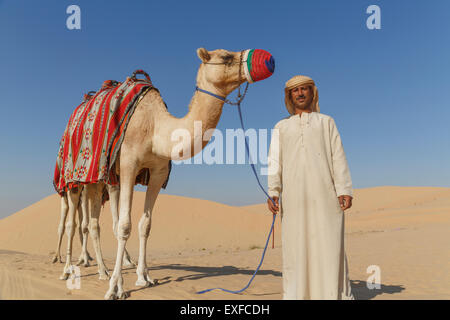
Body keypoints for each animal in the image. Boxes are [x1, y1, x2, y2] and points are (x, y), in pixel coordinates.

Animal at [99, 48, 272, 300]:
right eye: (226, 57)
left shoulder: (158, 171)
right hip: (86, 182)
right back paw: (91, 271)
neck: (155, 128)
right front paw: (114, 288)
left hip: (113, 178)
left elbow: (144, 225)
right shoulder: (130, 163)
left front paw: (143, 278)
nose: (268, 59)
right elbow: (125, 226)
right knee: (82, 221)